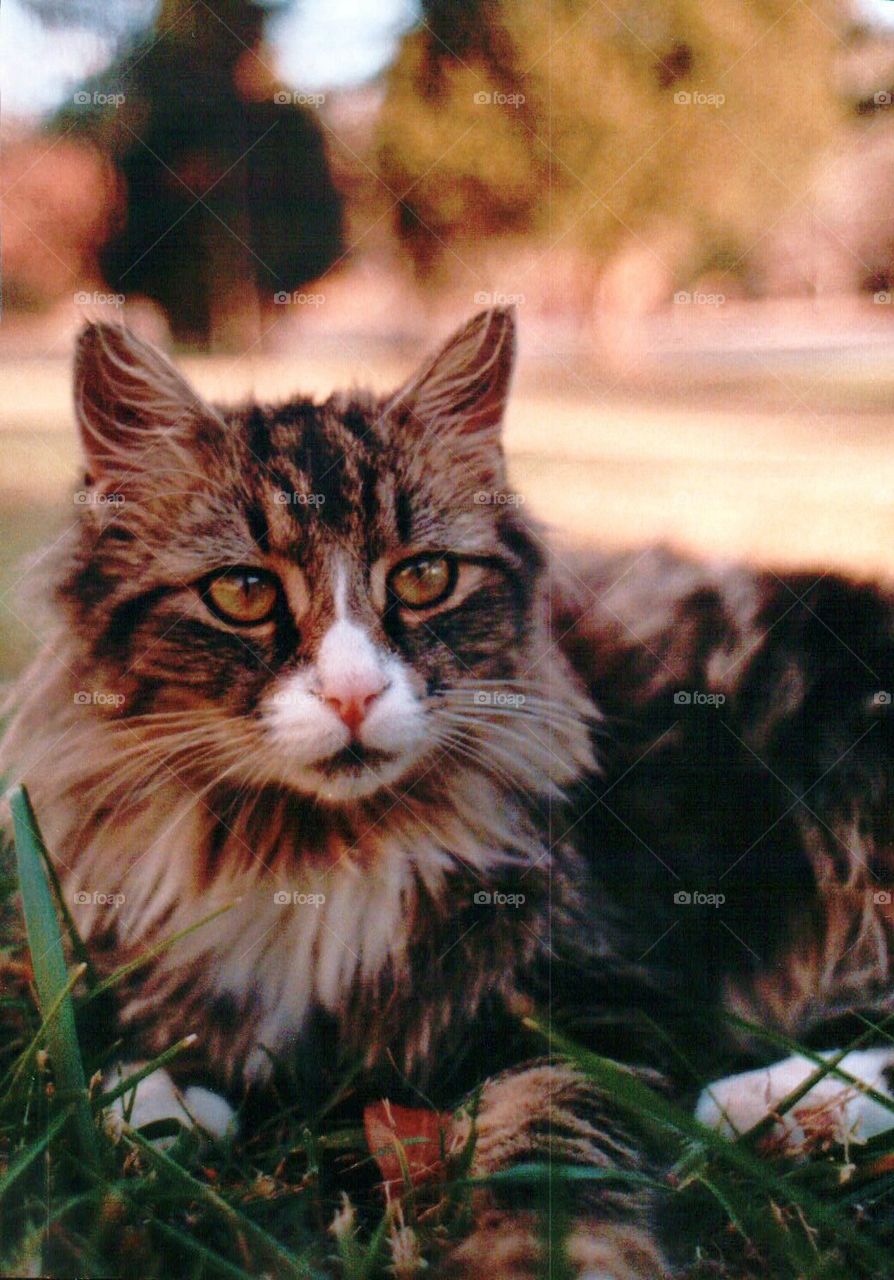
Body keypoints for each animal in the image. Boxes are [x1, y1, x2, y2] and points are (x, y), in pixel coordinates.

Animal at [5, 304, 891, 1274]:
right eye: (242, 592)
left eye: (424, 578)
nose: (353, 694)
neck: (318, 849)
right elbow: (139, 1063)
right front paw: (158, 1113)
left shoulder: (592, 996)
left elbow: (552, 1137)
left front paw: (549, 1252)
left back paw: (779, 1106)